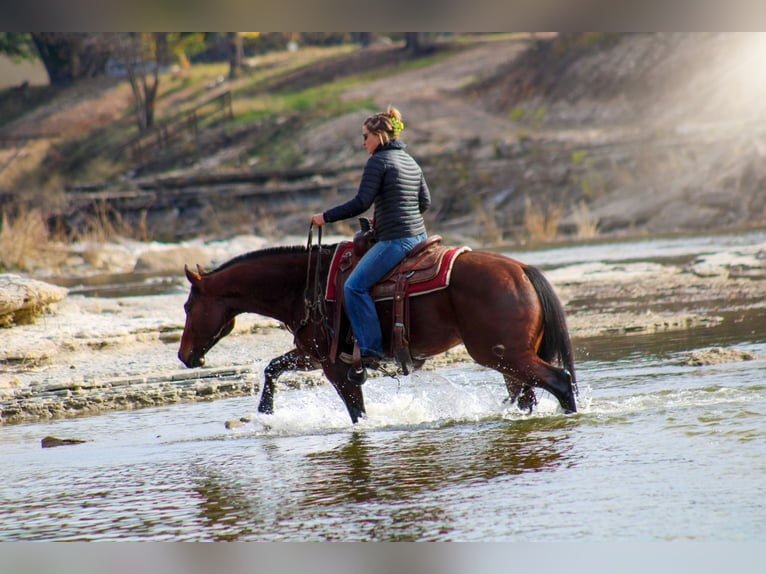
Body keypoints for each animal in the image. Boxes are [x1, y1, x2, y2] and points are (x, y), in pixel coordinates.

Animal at [178, 236, 576, 426]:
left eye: (187, 307)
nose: (184, 357)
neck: (303, 284)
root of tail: (522, 269)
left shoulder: (335, 366)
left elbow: (357, 413)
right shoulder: (313, 355)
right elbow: (273, 367)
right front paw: (265, 412)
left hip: (505, 354)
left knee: (558, 380)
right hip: (509, 360)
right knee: (527, 395)